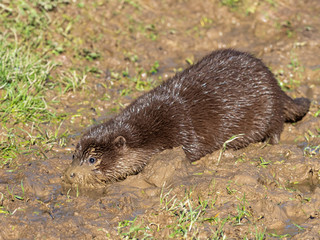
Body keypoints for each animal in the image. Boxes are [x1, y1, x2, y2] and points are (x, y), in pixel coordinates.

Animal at [63, 48, 312, 187]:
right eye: (74, 156)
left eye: (92, 160)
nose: (70, 174)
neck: (151, 131)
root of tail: (275, 85)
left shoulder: (183, 132)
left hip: (270, 108)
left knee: (277, 126)